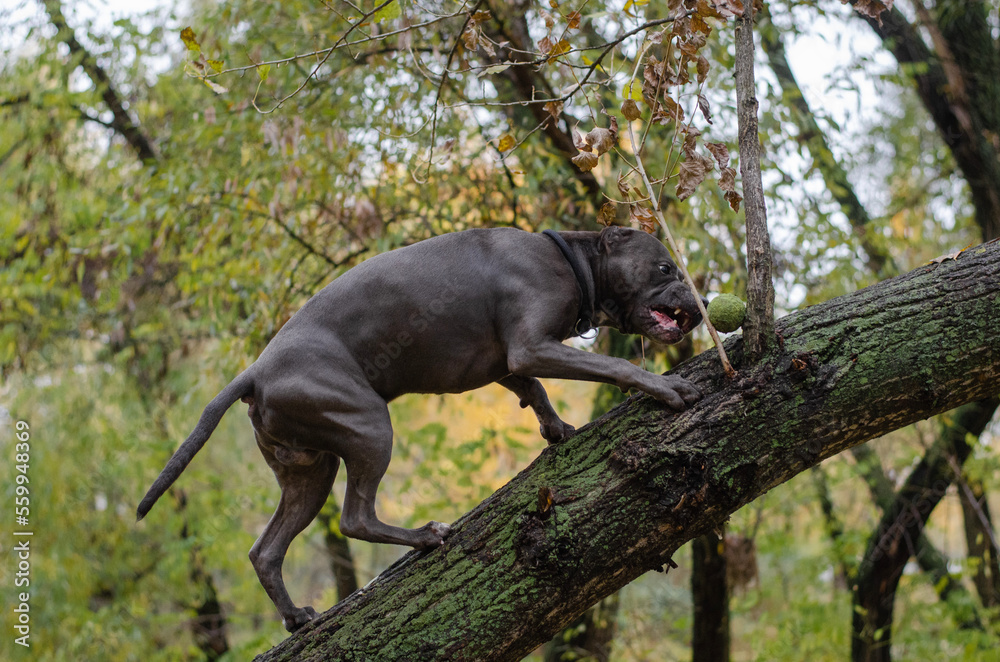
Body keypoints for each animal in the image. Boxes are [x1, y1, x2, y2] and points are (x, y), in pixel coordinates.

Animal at [137, 227, 708, 632]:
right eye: (665, 266)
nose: (701, 309)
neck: (574, 259)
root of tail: (253, 372)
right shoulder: (531, 347)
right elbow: (614, 366)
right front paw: (665, 389)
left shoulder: (507, 362)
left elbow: (535, 391)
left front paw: (557, 429)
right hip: (369, 426)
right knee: (355, 517)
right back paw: (424, 537)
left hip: (308, 472)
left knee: (267, 550)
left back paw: (298, 617)